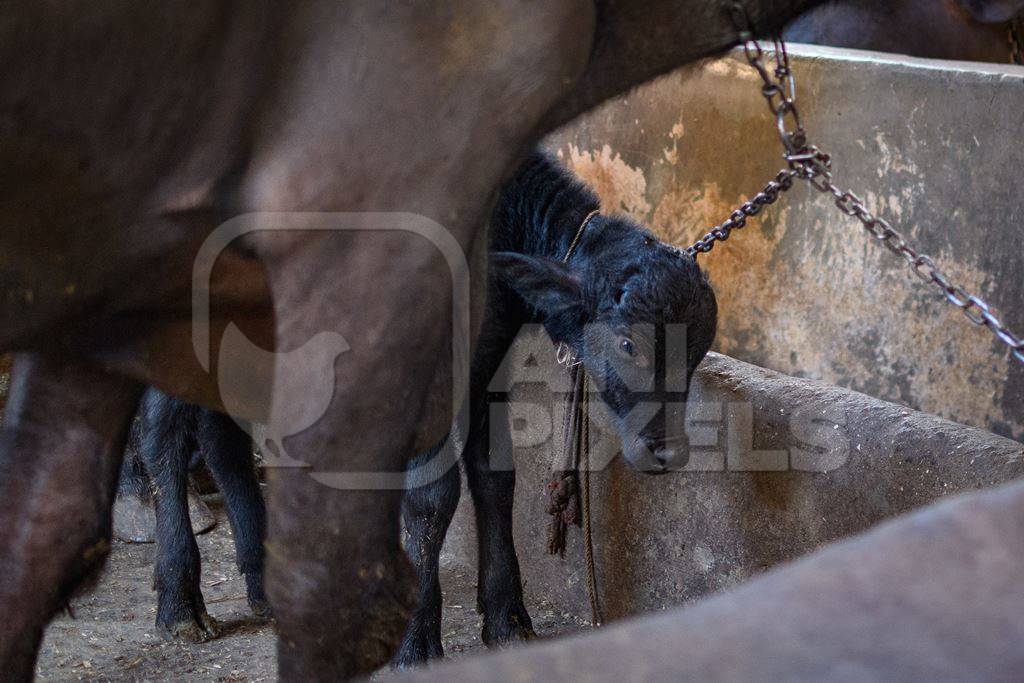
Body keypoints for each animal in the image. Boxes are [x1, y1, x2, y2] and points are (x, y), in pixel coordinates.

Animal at [0, 0, 823, 679]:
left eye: (698, 350)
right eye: (625, 343)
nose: (666, 452)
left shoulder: (485, 364)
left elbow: (495, 477)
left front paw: (508, 618)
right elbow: (431, 494)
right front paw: (415, 642)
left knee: (220, 431)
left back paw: (262, 580)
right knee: (167, 434)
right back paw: (180, 601)